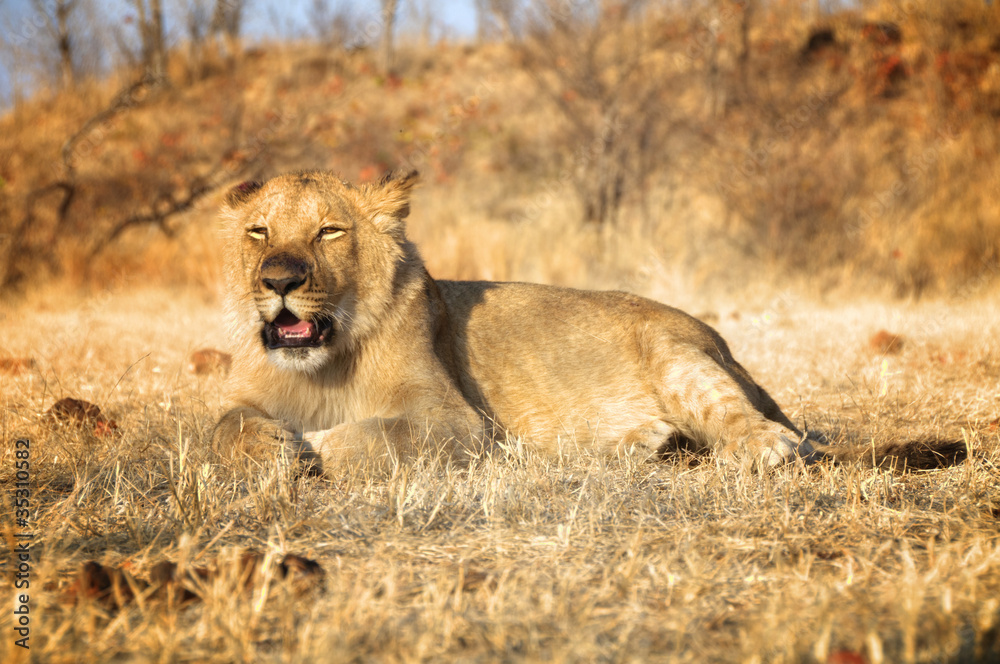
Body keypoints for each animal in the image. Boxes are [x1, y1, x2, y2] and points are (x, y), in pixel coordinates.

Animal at [212, 171, 962, 474]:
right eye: (259, 232)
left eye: (330, 231)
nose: (279, 281)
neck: (326, 364)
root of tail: (722, 343)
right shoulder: (247, 395)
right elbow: (224, 426)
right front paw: (272, 448)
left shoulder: (455, 421)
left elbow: (373, 436)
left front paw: (306, 448)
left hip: (680, 358)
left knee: (776, 435)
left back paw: (758, 447)